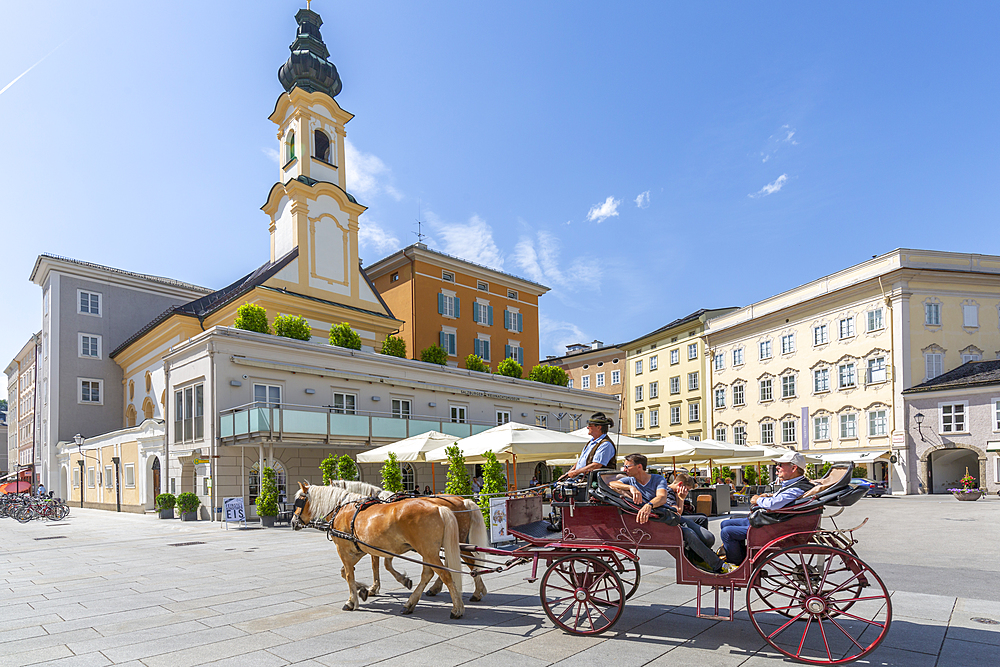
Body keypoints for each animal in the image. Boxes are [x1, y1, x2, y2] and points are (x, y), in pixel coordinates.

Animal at [292, 482, 466, 620]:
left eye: (299, 500)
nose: (293, 522)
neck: (343, 508)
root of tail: (439, 507)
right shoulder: (360, 548)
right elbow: (349, 571)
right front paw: (363, 589)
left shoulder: (343, 549)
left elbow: (349, 574)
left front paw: (352, 600)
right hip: (428, 551)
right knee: (429, 573)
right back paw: (410, 604)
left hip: (428, 551)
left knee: (445, 574)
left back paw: (457, 608)